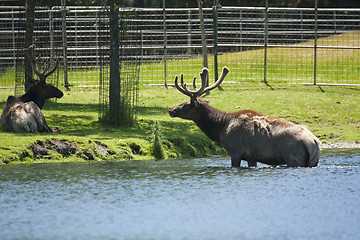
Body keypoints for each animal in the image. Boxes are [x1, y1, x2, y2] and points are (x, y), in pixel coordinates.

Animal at [169, 66, 320, 168]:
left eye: (187, 104)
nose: (171, 110)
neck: (221, 129)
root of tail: (314, 142)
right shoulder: (251, 156)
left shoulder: (235, 152)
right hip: (313, 162)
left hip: (293, 158)